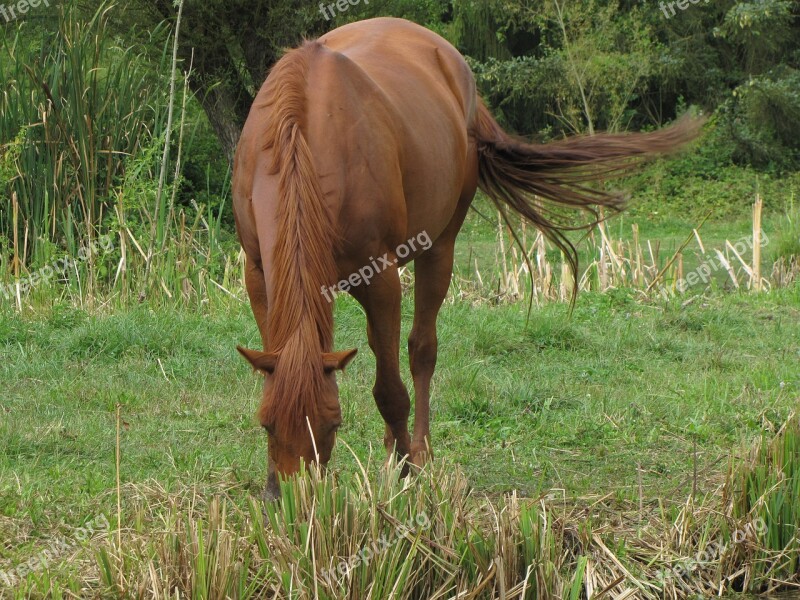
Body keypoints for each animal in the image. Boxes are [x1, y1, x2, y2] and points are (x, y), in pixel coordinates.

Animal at [231, 16, 700, 500]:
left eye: (333, 424)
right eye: (266, 424)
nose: (292, 501)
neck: (303, 132)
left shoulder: (380, 280)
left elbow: (390, 389)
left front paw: (407, 472)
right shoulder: (259, 275)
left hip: (440, 247)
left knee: (420, 350)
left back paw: (417, 451)